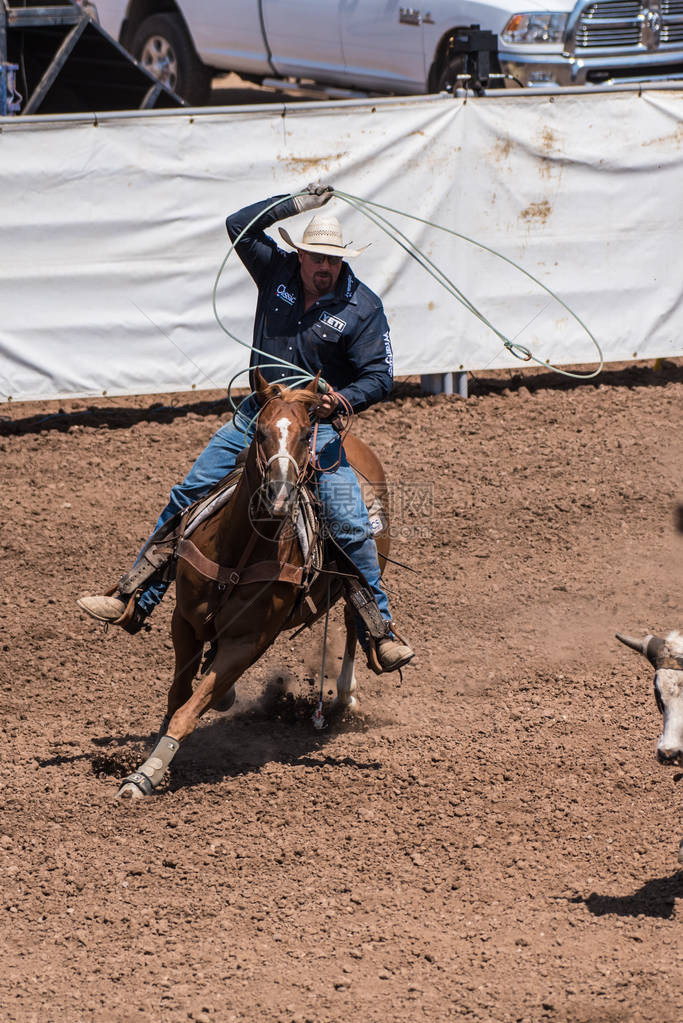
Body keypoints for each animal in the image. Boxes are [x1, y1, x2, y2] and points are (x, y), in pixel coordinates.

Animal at [118, 374, 388, 797]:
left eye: (305, 434)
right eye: (260, 432)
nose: (279, 497)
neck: (237, 554)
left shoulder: (249, 641)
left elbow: (188, 710)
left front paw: (144, 776)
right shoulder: (185, 622)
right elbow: (178, 696)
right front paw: (151, 760)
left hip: (364, 565)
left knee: (354, 617)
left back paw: (350, 686)